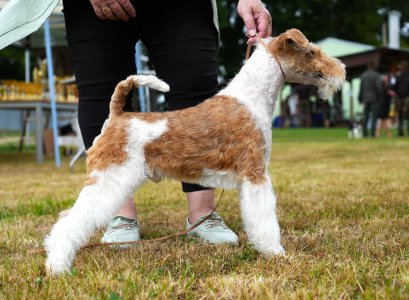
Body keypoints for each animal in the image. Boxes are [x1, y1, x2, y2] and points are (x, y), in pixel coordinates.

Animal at [44, 28, 344, 274]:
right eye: (311, 51)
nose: (340, 69)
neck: (250, 99)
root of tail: (116, 116)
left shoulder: (251, 176)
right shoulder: (255, 173)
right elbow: (265, 219)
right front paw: (275, 252)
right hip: (109, 178)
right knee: (68, 223)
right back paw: (58, 267)